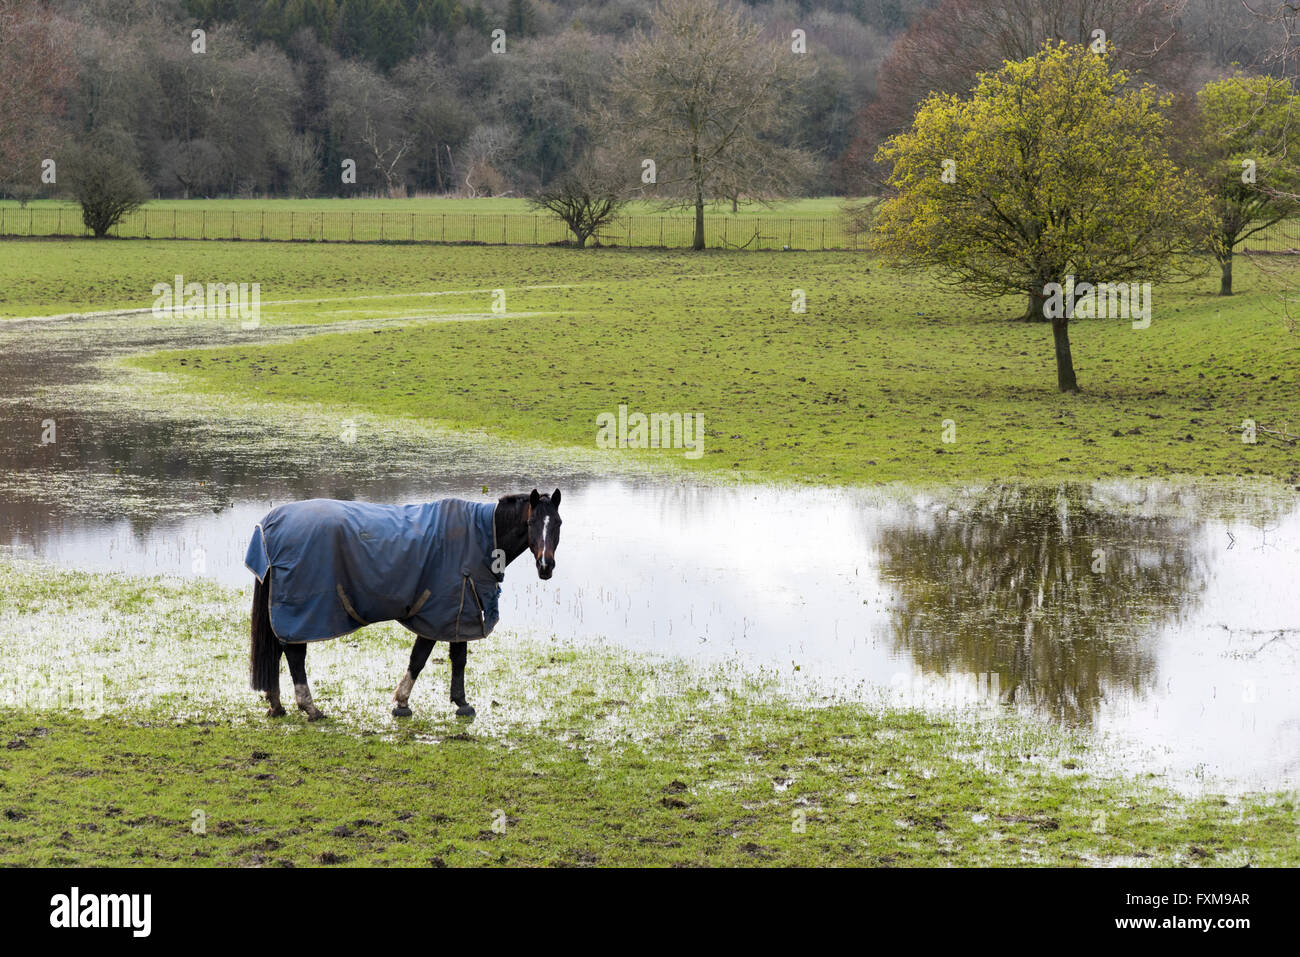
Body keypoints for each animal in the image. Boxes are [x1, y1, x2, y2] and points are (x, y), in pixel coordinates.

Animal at [245, 488, 561, 722]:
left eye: (557, 524)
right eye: (531, 523)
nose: (546, 567)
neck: (481, 535)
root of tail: (269, 528)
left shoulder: (449, 614)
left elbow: (432, 657)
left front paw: (410, 702)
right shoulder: (453, 611)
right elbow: (434, 658)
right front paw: (451, 703)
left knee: (278, 651)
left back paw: (276, 704)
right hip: (301, 614)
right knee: (294, 655)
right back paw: (309, 707)